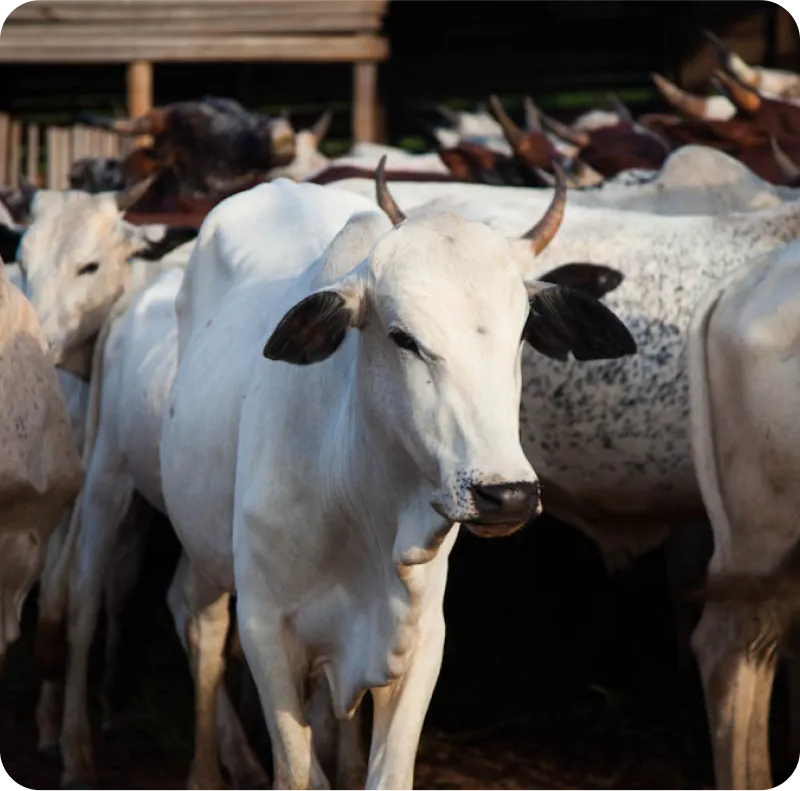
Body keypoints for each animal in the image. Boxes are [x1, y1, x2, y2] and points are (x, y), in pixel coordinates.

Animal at [157, 161, 636, 791]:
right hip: (207, 555)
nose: (506, 494)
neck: (361, 506)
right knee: (203, 633)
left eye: (522, 334)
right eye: (404, 338)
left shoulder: (421, 643)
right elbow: (298, 773)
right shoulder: (266, 631)